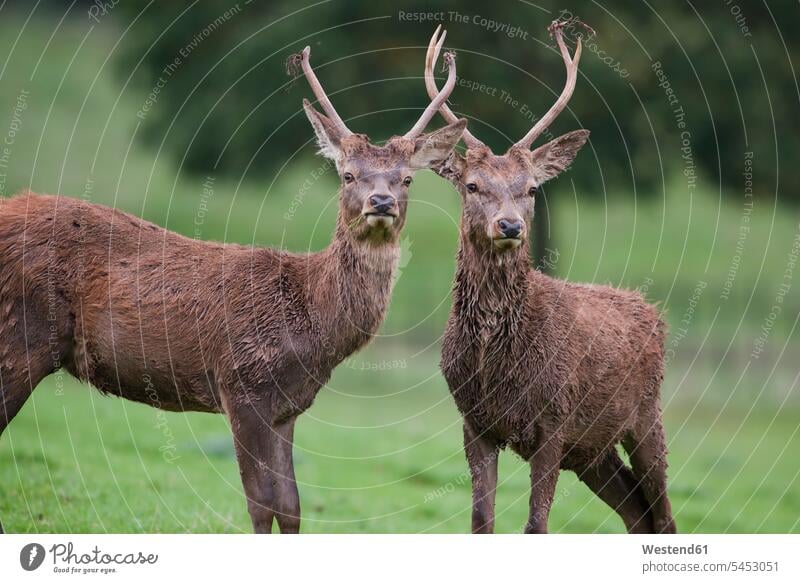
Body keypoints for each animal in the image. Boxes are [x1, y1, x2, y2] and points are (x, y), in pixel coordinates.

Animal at [0, 44, 466, 532]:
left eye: (407, 178)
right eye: (348, 175)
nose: (382, 202)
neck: (311, 319)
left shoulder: (286, 408)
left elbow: (291, 506)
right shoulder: (242, 385)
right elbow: (261, 503)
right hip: (21, 333)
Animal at [424, 22, 676, 532]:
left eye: (532, 188)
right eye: (472, 185)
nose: (509, 226)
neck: (497, 359)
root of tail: (653, 312)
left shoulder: (553, 420)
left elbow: (536, 524)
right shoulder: (474, 421)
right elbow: (481, 520)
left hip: (646, 416)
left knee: (663, 514)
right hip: (592, 451)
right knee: (636, 512)